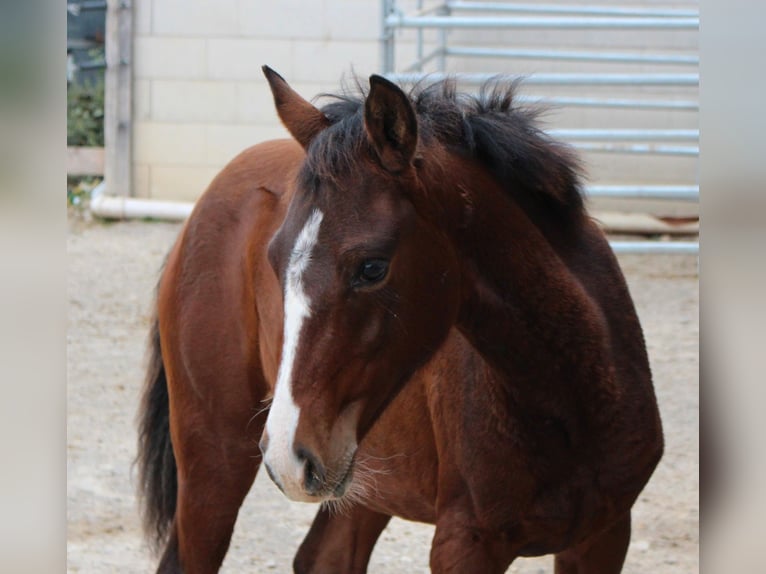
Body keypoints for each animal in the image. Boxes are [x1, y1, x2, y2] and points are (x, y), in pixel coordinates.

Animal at [138, 68, 664, 574]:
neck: (569, 405)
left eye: (372, 267)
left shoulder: (604, 535)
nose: (289, 456)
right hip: (217, 454)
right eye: (274, 258)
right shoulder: (465, 545)